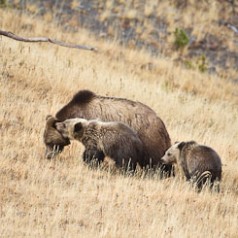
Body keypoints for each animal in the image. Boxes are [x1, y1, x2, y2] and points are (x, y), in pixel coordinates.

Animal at [43, 89, 172, 175]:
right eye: (45, 141)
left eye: (49, 142)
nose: (47, 156)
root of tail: (162, 125)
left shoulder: (95, 131)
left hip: (148, 140)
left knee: (155, 162)